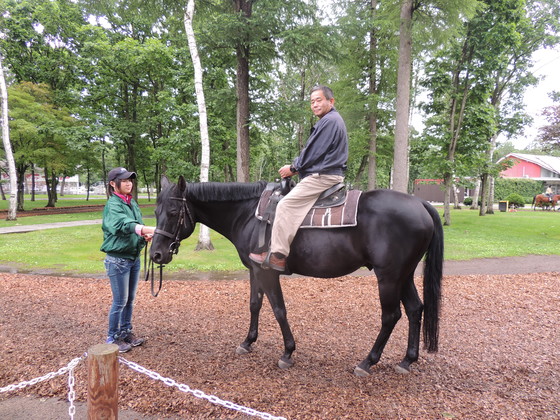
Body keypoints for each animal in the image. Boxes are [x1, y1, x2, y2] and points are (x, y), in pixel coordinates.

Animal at [149, 176, 442, 376]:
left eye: (173, 213)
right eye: (155, 212)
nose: (156, 255)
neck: (249, 214)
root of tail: (420, 203)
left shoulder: (268, 271)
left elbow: (279, 309)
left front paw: (288, 351)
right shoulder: (255, 270)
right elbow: (254, 305)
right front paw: (248, 341)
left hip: (389, 277)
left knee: (391, 316)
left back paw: (367, 361)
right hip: (403, 275)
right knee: (415, 308)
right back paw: (407, 360)